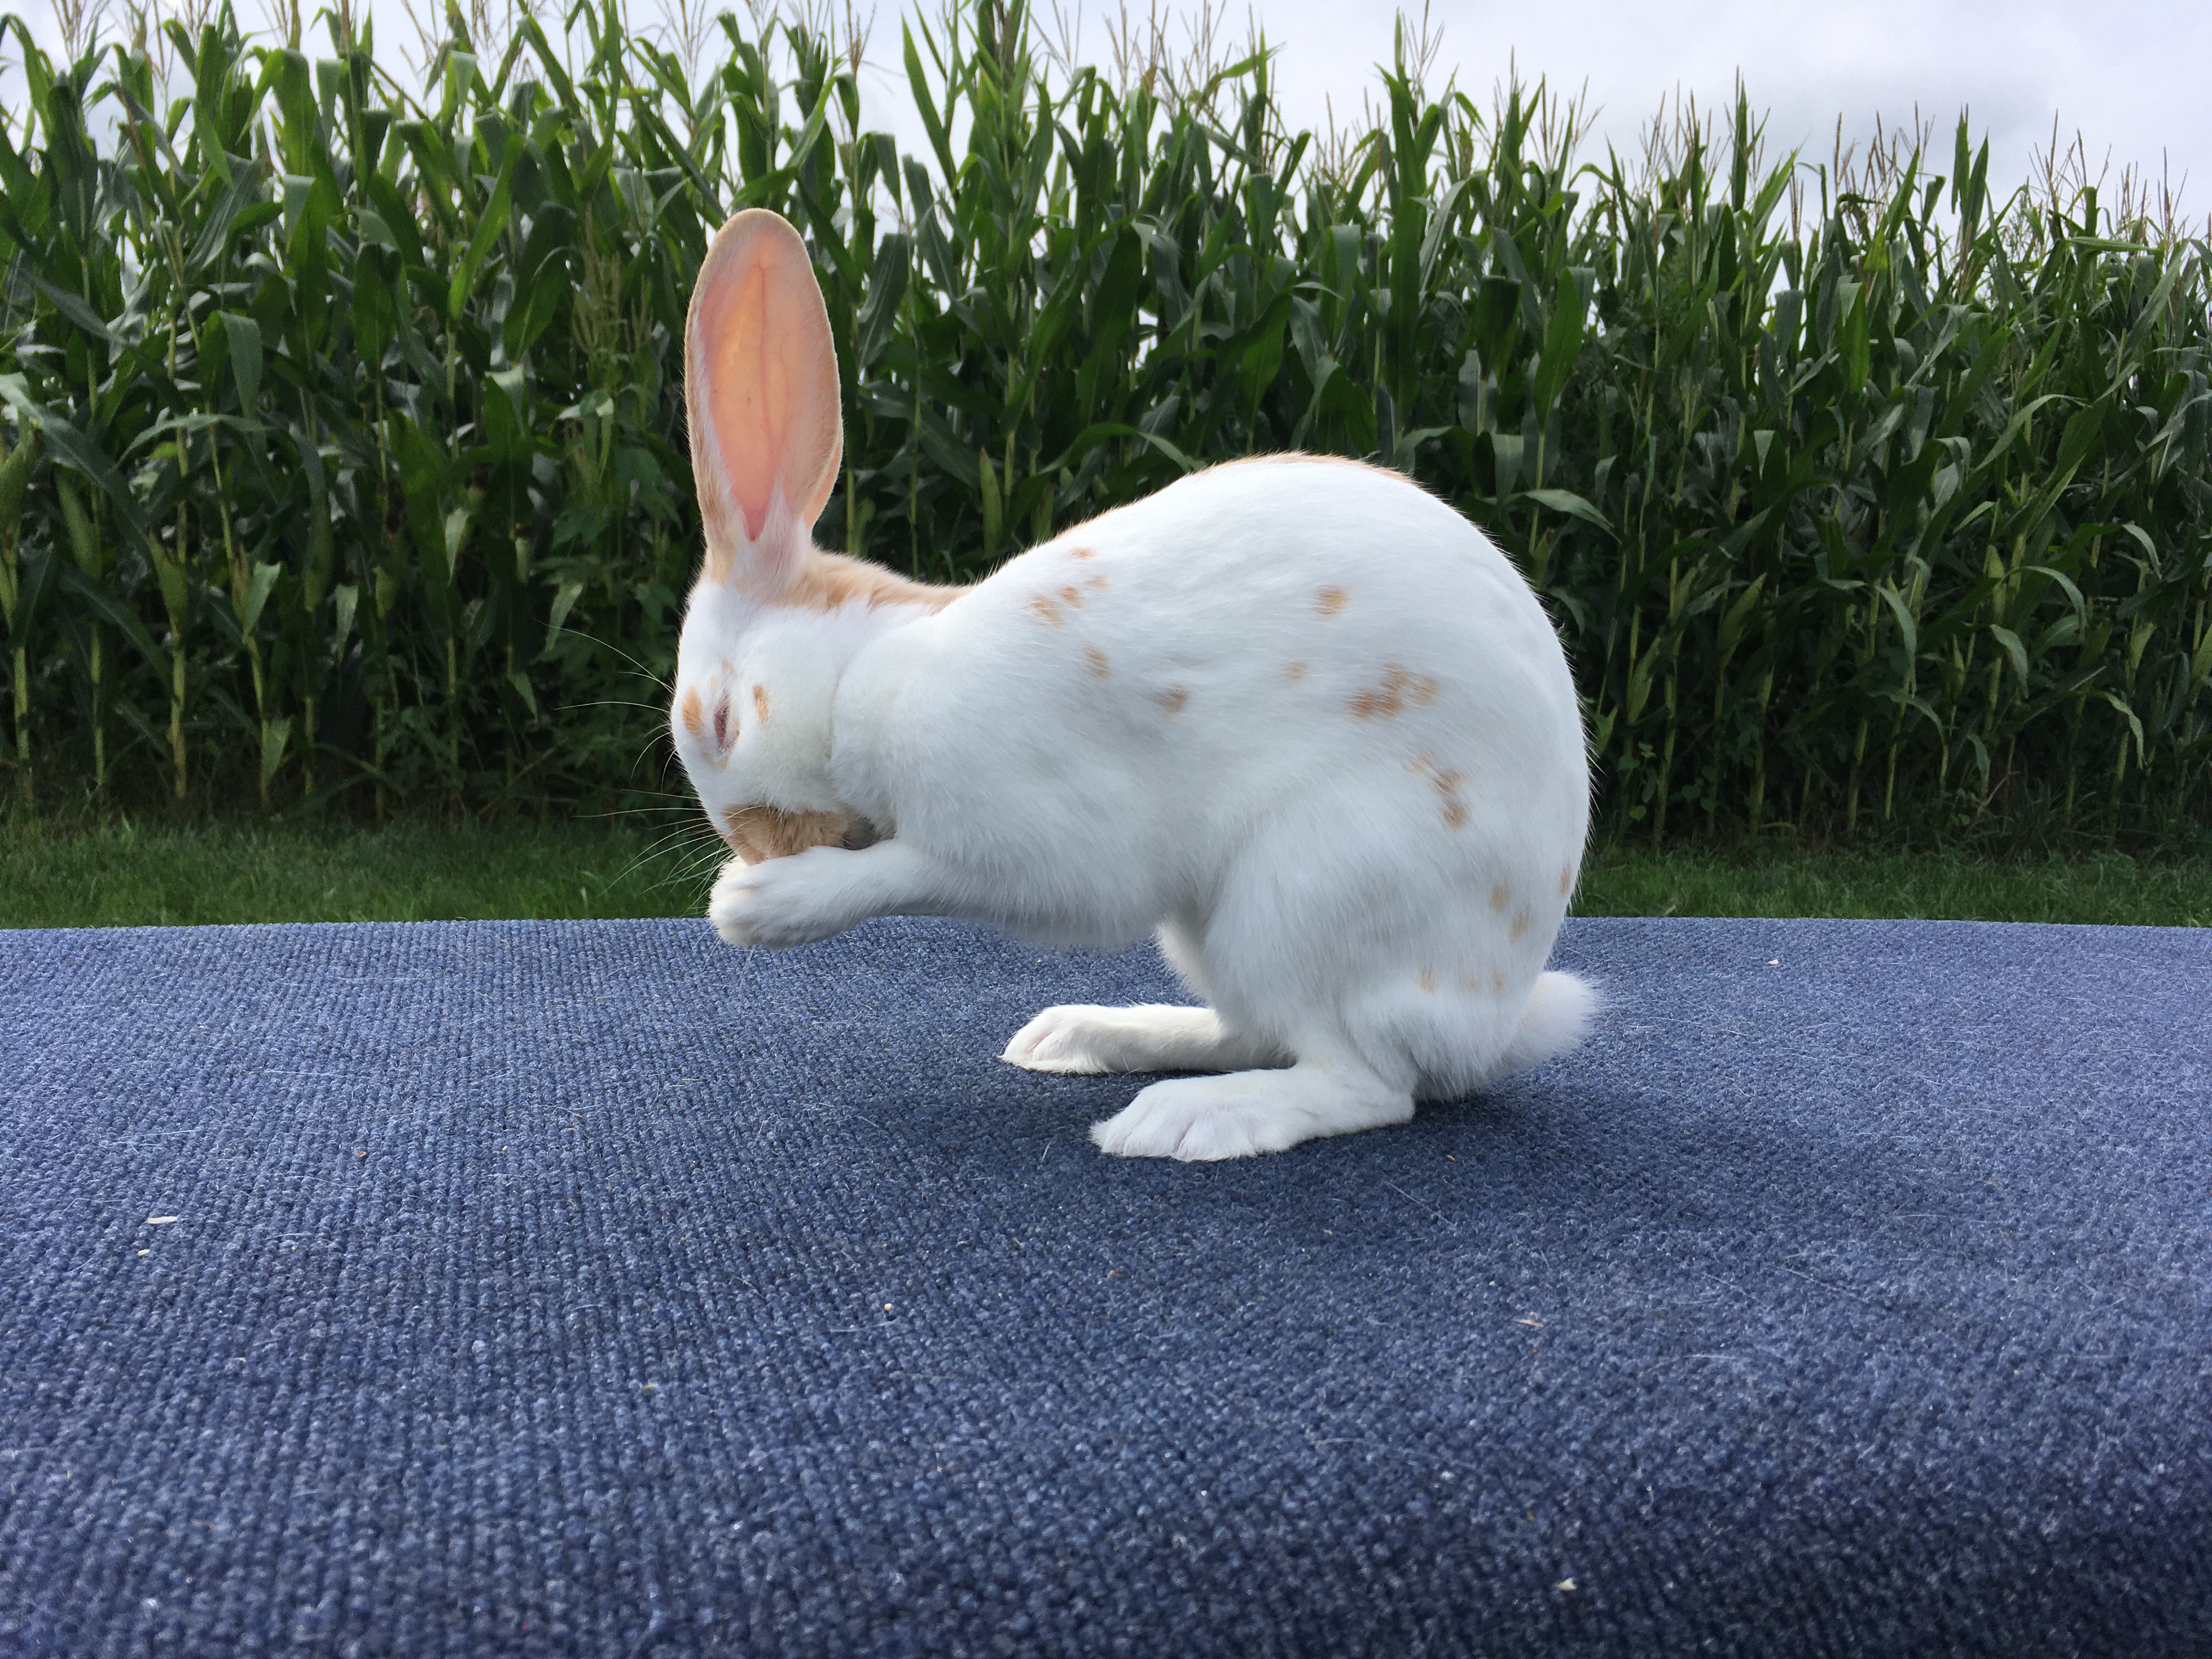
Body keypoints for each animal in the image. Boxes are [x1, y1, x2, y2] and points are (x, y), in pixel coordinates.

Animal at [671, 208, 1595, 1161]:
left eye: (723, 722)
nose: (757, 850)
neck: (863, 676)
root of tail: (1491, 1021)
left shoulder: (1036, 840)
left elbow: (903, 873)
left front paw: (755, 905)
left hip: (1306, 894)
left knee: (1364, 1083)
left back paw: (1182, 1120)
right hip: (1210, 935)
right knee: (1253, 1033)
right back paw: (1084, 1036)